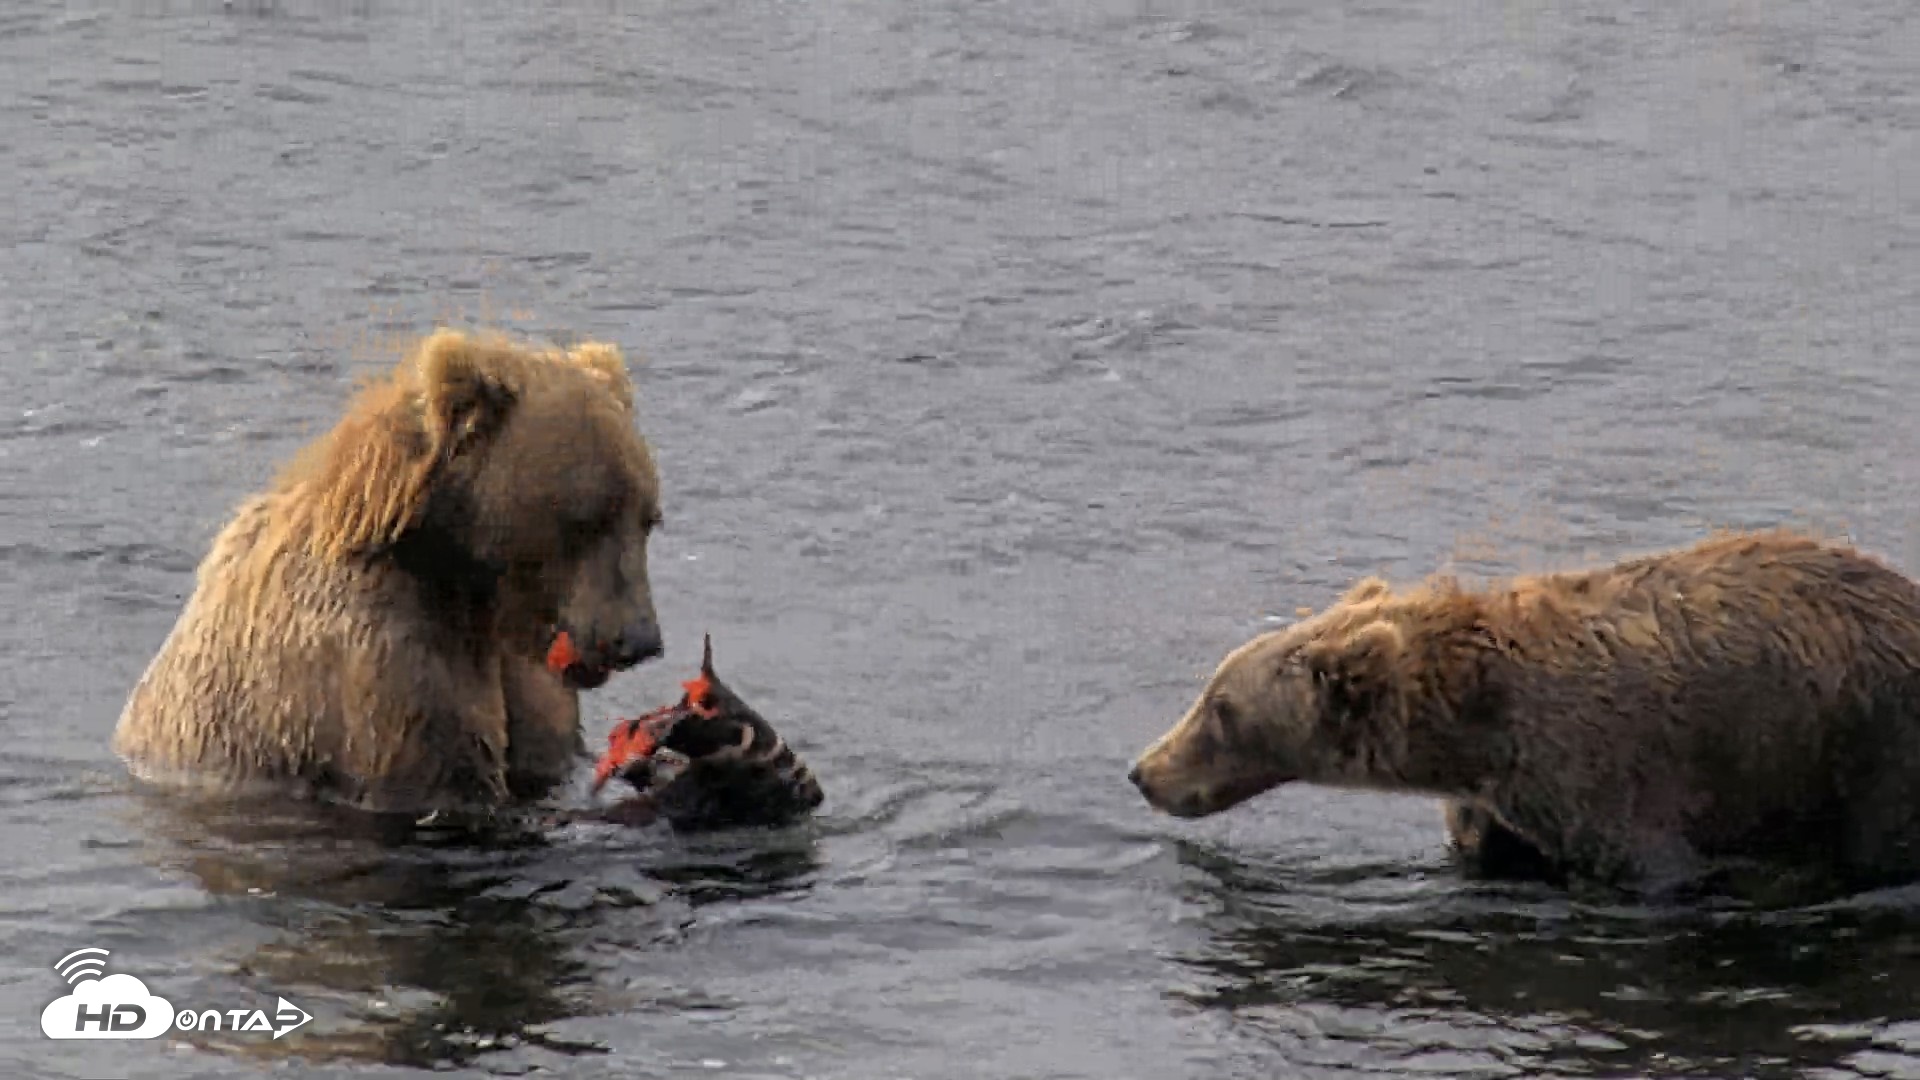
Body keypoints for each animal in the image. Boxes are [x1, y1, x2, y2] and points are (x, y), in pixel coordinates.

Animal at [1126, 530, 1920, 897]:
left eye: (1220, 708)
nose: (1143, 770)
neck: (1478, 733)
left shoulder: (1614, 779)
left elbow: (1648, 865)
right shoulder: (1505, 803)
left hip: (1868, 749)